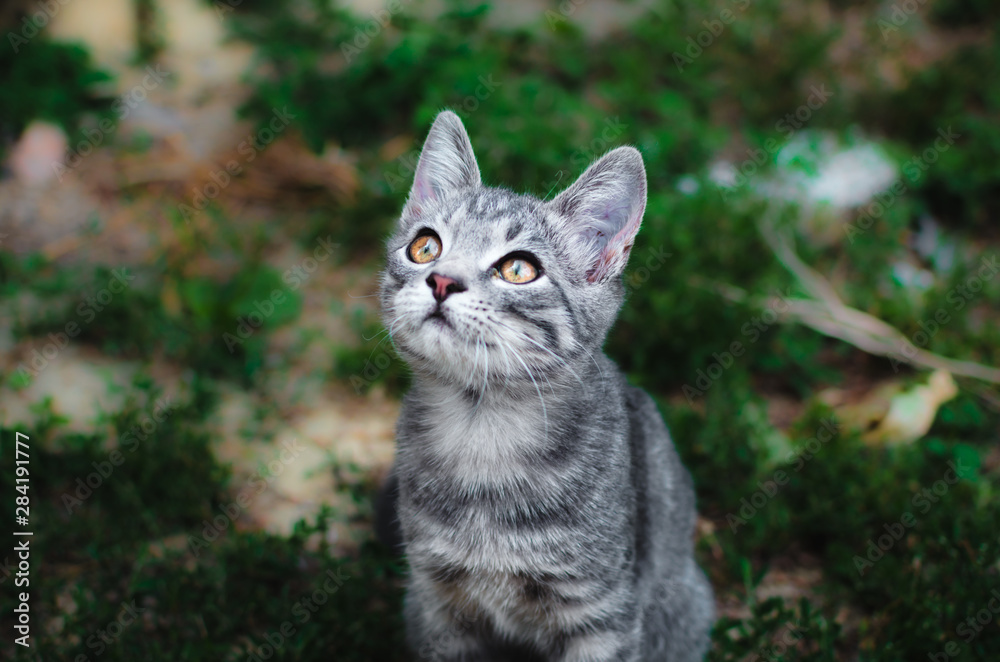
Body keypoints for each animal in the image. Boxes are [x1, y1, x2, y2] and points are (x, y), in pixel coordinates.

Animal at [378, 111, 716, 660]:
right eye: (425, 246)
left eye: (518, 269)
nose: (442, 281)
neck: (482, 431)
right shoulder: (436, 604)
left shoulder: (602, 614)